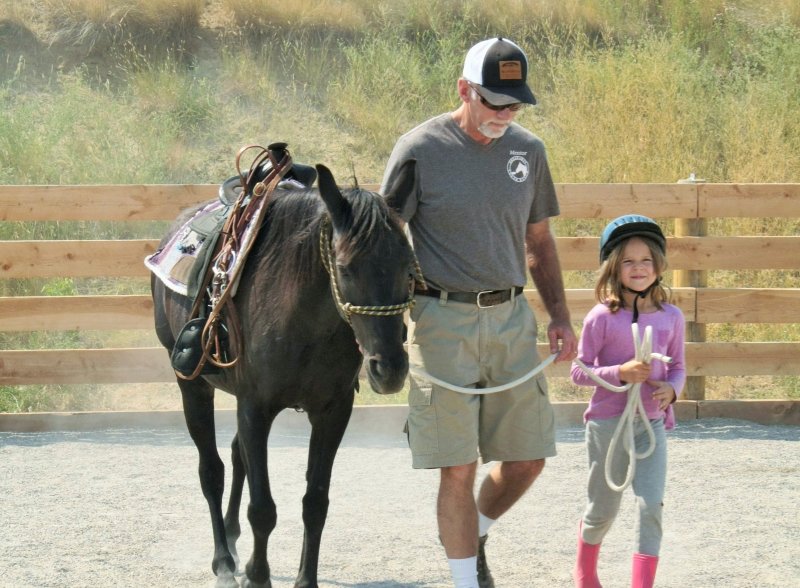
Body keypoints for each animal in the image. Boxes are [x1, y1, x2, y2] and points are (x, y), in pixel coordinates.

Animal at [150, 160, 418, 588]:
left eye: (408, 267)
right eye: (345, 269)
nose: (389, 368)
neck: (303, 318)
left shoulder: (332, 412)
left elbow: (315, 502)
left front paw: (304, 580)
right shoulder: (256, 407)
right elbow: (262, 509)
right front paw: (257, 576)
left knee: (236, 455)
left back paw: (232, 538)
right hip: (192, 387)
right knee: (211, 470)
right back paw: (223, 561)